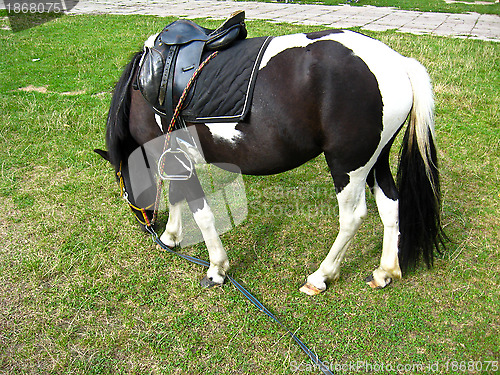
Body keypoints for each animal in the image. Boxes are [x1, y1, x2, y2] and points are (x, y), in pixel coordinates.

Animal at [95, 28, 448, 294]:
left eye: (120, 179)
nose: (146, 226)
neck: (147, 87)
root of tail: (399, 63)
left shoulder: (176, 156)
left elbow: (201, 213)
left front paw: (216, 269)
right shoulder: (176, 158)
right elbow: (176, 195)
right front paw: (171, 236)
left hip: (348, 166)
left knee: (352, 217)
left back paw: (321, 276)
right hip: (376, 160)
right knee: (391, 205)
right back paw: (384, 271)